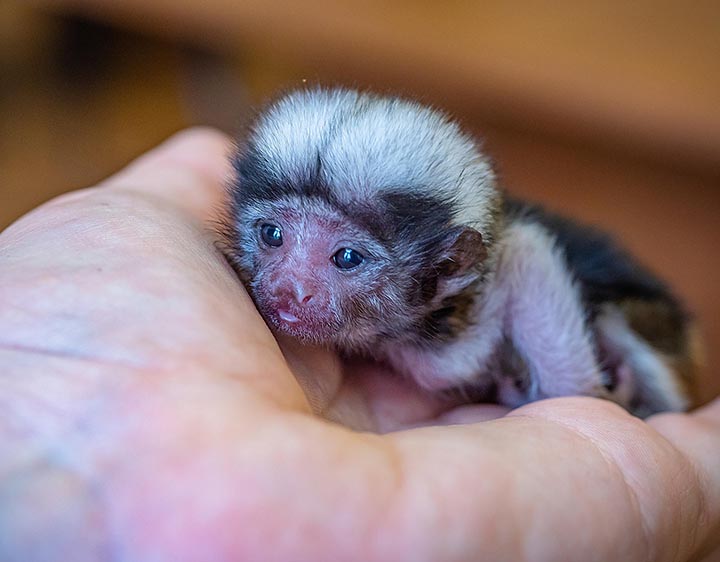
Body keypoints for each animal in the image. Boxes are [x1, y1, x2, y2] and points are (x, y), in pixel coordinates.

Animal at [224, 87, 696, 416]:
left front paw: (576, 394)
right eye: (272, 235)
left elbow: (527, 250)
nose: (290, 289)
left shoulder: (452, 353)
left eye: (347, 258)